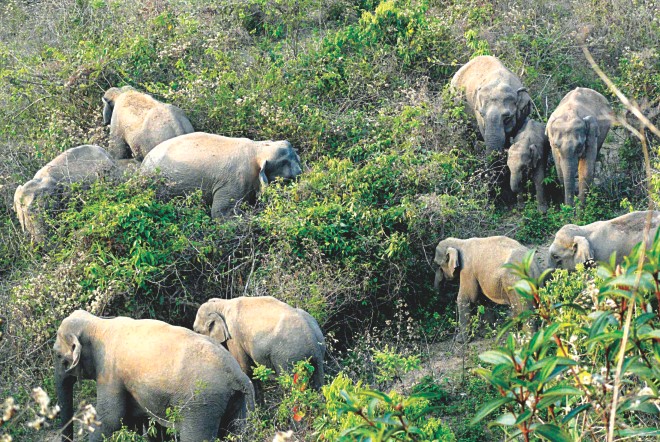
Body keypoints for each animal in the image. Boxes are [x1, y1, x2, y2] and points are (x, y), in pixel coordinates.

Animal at [54, 310, 255, 442]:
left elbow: (110, 417)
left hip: (201, 405)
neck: (98, 323)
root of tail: (238, 377)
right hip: (238, 400)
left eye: (58, 356)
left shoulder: (109, 370)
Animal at [193, 296, 325, 400]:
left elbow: (245, 368)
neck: (222, 304)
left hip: (288, 354)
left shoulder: (234, 336)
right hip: (316, 353)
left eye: (197, 331)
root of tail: (311, 337)